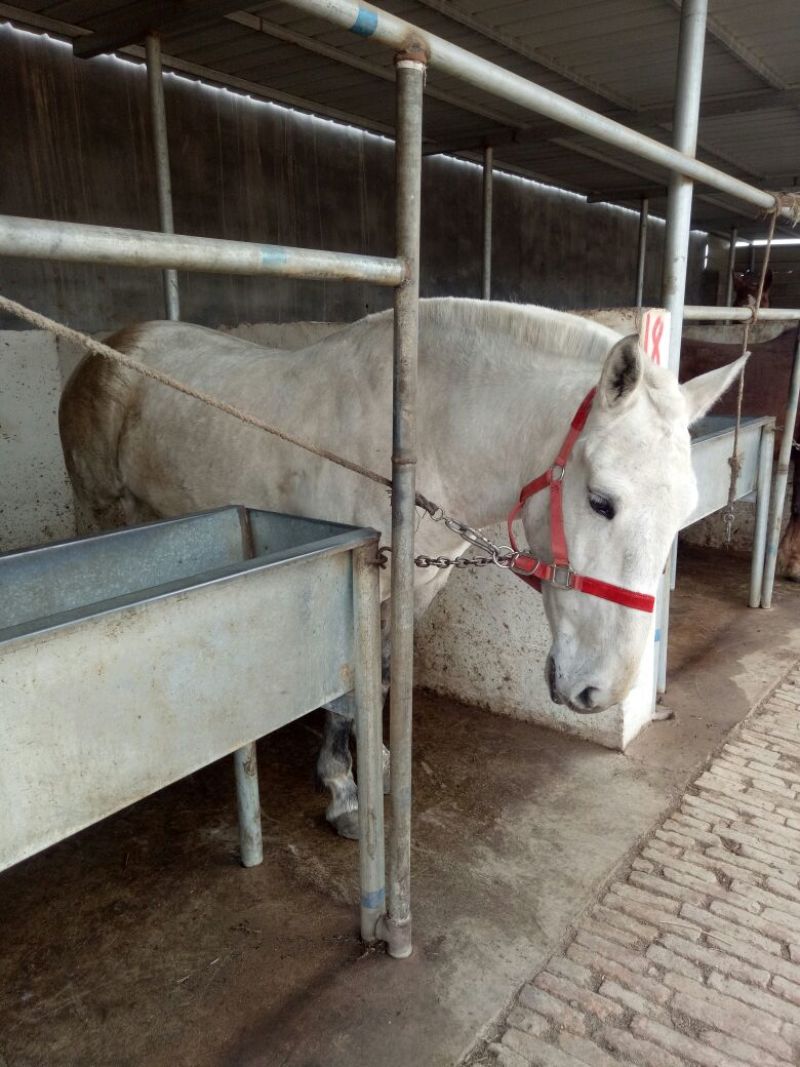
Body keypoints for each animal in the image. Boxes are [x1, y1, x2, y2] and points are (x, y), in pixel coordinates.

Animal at [59, 298, 743, 838]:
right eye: (602, 501)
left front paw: (379, 765)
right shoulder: (346, 579)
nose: (601, 692)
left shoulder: (417, 585)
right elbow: (347, 694)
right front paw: (344, 794)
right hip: (104, 515)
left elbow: (383, 677)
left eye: (682, 510)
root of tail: (112, 348)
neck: (408, 450)